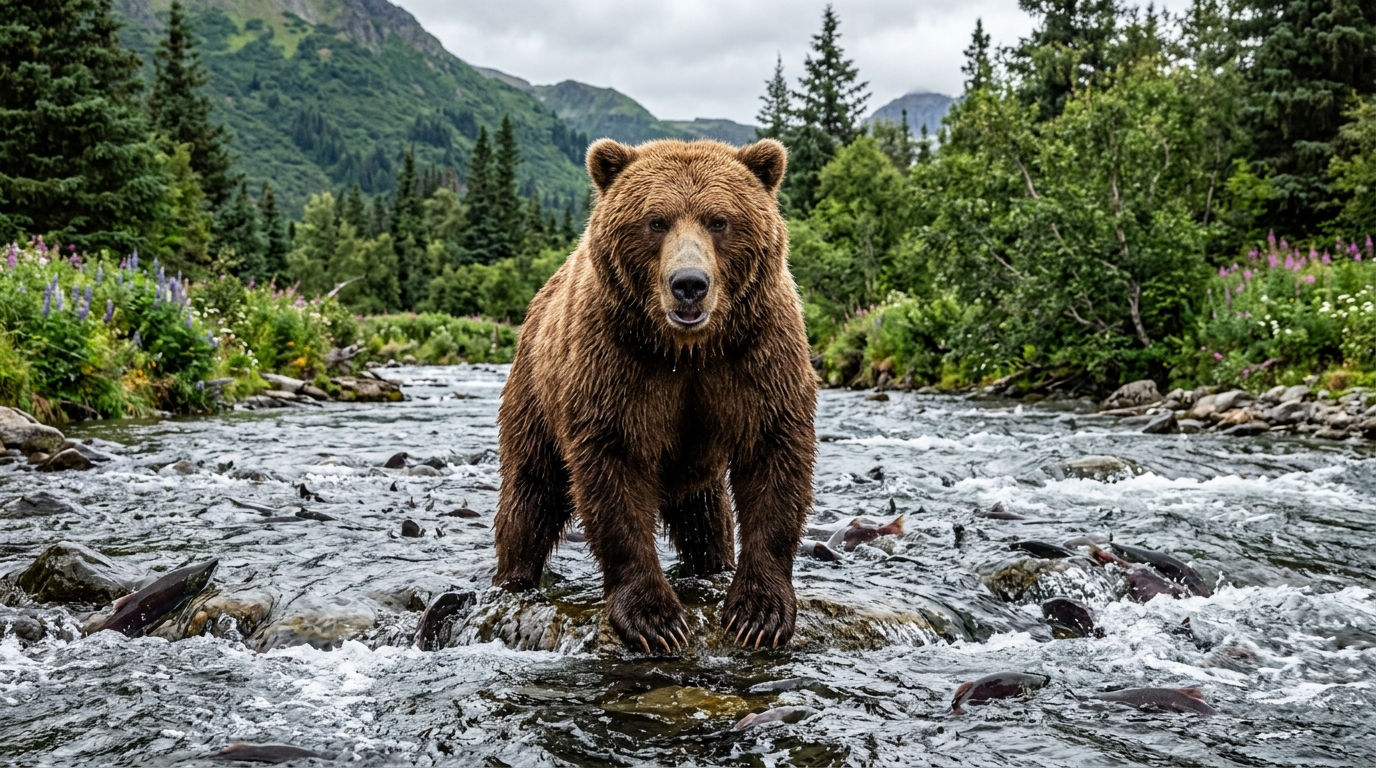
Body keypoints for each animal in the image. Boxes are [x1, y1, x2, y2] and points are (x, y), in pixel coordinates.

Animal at [492, 137, 816, 653]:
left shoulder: (756, 355)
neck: (687, 348)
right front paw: (656, 620)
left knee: (705, 515)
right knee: (531, 491)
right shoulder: (616, 363)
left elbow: (774, 457)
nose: (689, 284)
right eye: (656, 221)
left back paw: (714, 564)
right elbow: (613, 472)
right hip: (535, 392)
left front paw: (758, 613)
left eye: (718, 220)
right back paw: (515, 578)